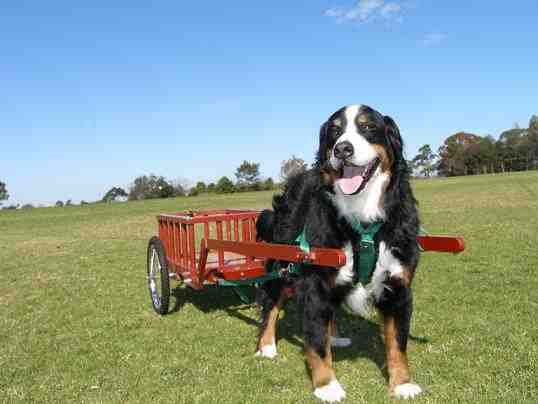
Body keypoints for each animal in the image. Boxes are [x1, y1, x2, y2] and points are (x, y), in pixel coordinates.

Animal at [255, 104, 422, 402]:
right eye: (334, 131)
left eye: (368, 127)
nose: (342, 149)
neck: (362, 216)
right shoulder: (315, 283)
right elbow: (316, 342)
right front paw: (326, 385)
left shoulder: (398, 285)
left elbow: (397, 342)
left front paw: (402, 383)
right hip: (284, 264)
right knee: (272, 302)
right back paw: (267, 345)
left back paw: (335, 335)